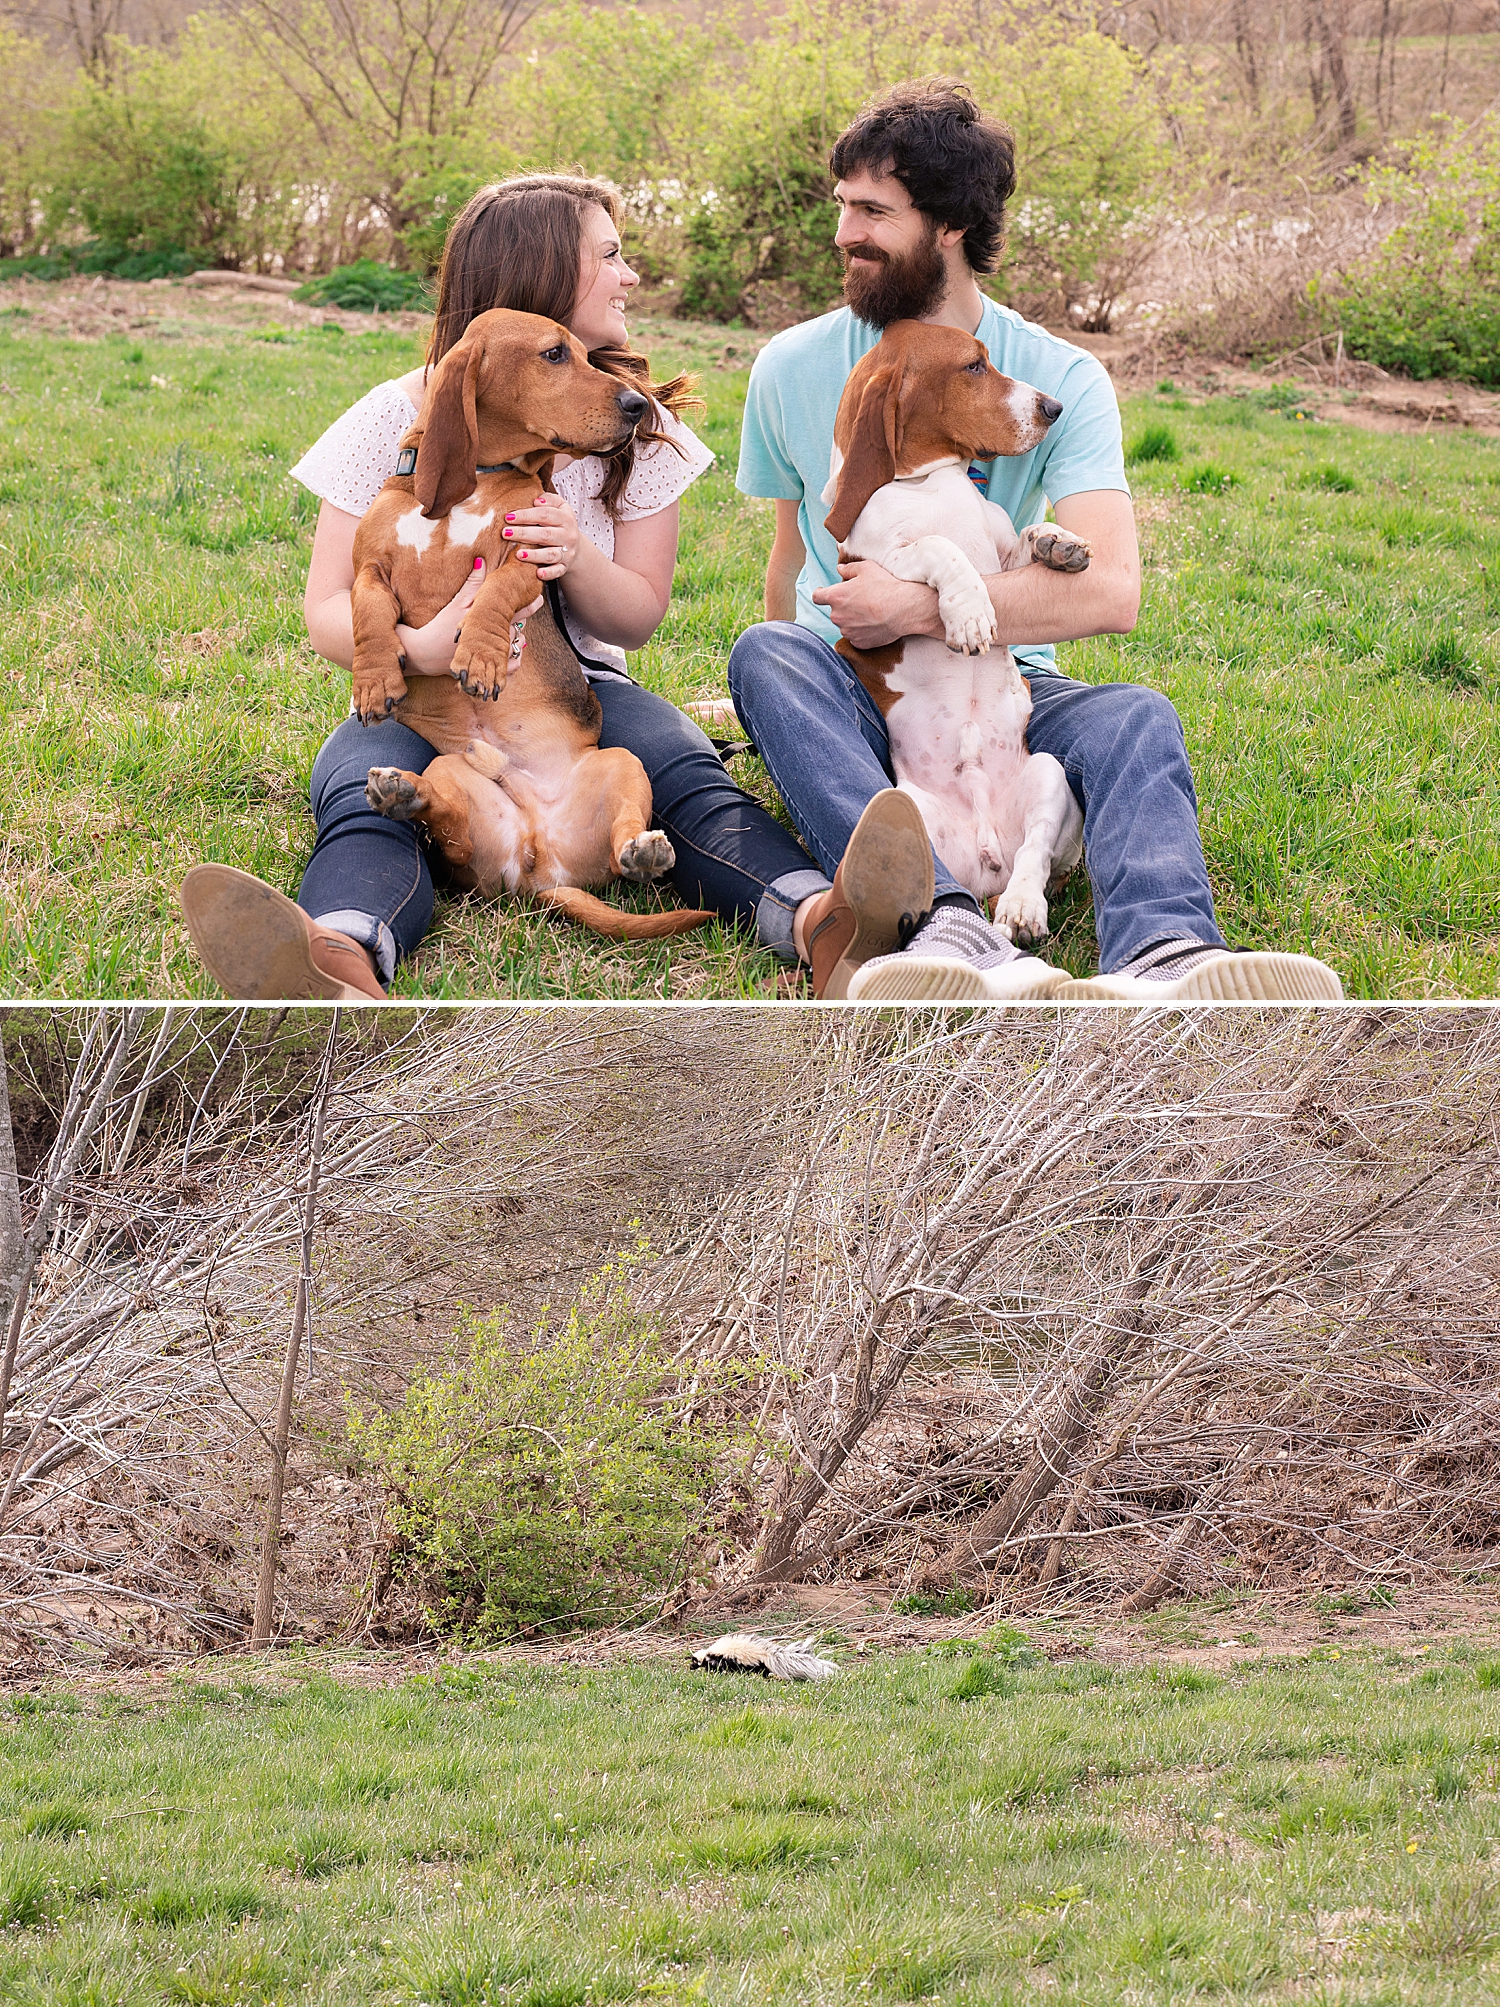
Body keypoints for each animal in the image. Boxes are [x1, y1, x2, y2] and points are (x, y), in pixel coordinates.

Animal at [351, 303, 710, 939]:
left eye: (587, 353)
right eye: (554, 354)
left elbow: (493, 595)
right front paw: (374, 681)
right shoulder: (369, 568)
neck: (474, 478)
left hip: (621, 764)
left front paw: (480, 657)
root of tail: (541, 870)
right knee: (451, 829)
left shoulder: (529, 556)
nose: (637, 406)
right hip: (453, 773)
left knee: (622, 841)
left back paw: (644, 851)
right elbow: (368, 612)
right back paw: (402, 794)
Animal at [694, 1629, 839, 1677]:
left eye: (693, 1661)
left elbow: (717, 1667)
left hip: (754, 1664)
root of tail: (766, 1653)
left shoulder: (720, 1659)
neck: (707, 1653)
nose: (691, 1667)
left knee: (760, 1670)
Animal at [823, 321, 1092, 947]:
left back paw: (1022, 907)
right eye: (973, 366)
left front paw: (1058, 542)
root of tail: (985, 855)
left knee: (1036, 857)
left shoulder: (1000, 554)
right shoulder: (879, 562)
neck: (931, 483)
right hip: (903, 804)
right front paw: (969, 613)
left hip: (1047, 773)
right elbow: (941, 547)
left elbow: (1024, 540)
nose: (1054, 407)